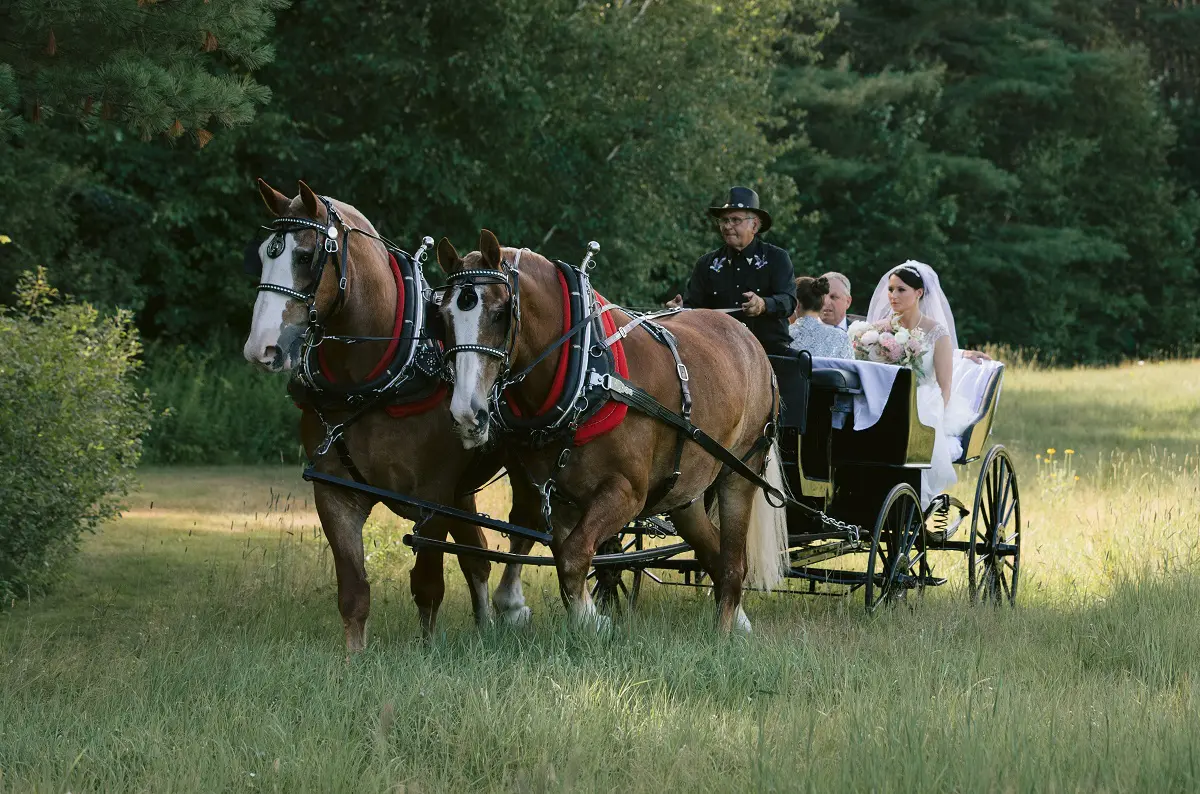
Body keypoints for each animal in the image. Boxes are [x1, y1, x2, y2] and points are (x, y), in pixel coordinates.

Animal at [243, 183, 535, 652]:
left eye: (305, 256)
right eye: (263, 254)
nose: (261, 348)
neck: (374, 381)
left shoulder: (433, 496)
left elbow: (428, 585)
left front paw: (429, 652)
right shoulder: (334, 494)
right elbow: (354, 591)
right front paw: (353, 659)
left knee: (523, 529)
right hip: (462, 492)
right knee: (476, 557)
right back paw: (485, 626)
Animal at [436, 230, 792, 633]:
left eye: (499, 314)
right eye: (443, 317)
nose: (467, 413)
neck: (589, 373)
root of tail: (748, 339)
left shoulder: (627, 493)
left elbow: (574, 556)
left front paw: (593, 622)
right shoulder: (556, 495)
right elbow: (564, 556)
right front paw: (586, 616)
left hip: (739, 474)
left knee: (733, 564)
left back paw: (723, 632)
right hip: (685, 494)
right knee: (715, 555)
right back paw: (739, 621)